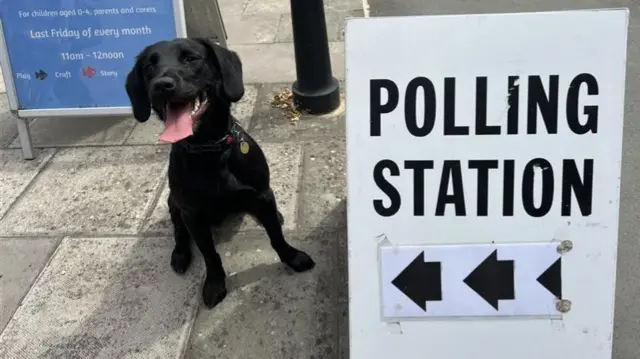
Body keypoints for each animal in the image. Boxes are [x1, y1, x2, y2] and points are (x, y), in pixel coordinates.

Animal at [124, 38, 316, 310]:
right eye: (149, 67)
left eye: (191, 58)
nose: (161, 85)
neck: (210, 151)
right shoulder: (192, 214)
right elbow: (209, 254)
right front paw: (215, 284)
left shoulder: (262, 193)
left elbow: (276, 236)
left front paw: (292, 257)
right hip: (173, 203)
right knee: (179, 231)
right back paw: (180, 254)